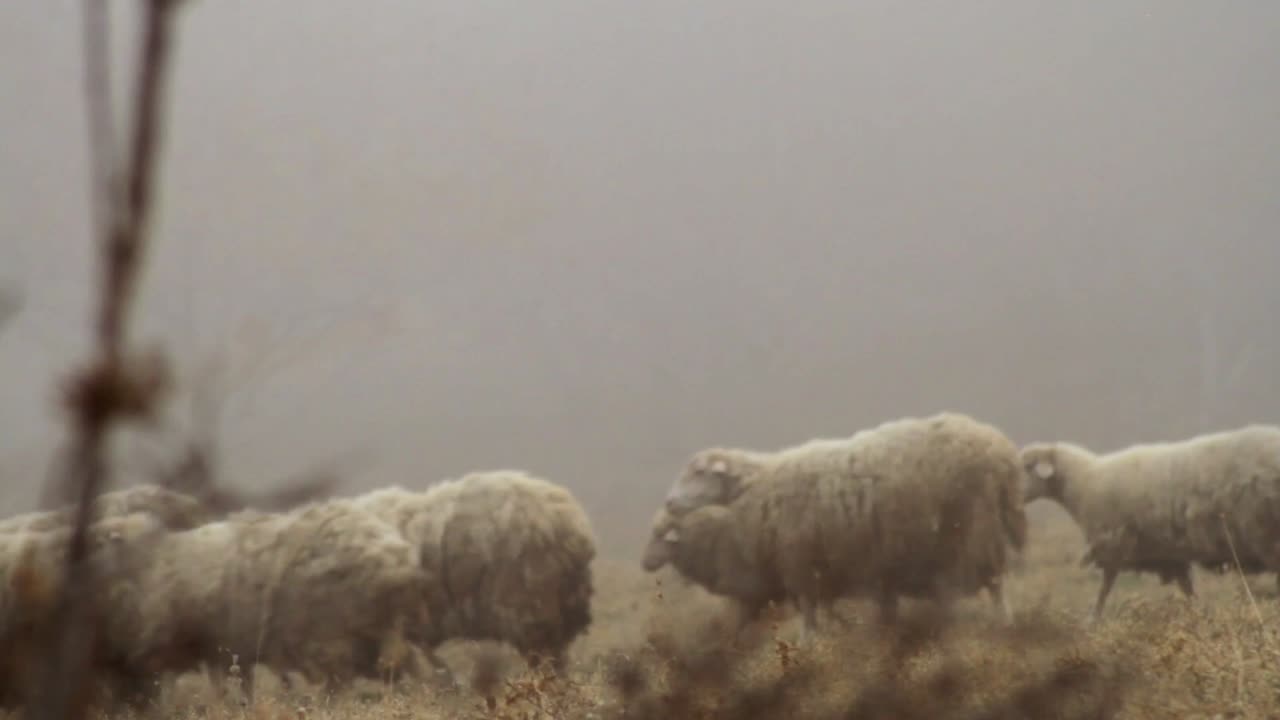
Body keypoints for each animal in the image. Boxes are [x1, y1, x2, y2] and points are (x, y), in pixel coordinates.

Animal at [645, 412, 1027, 641]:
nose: (669, 503)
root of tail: (1002, 451)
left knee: (995, 584)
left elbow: (808, 614)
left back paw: (1003, 624)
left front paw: (808, 646)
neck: (762, 480)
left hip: (976, 528)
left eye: (699, 472)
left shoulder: (800, 562)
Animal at [1019, 423, 1280, 621]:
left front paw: (1092, 621)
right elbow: (1187, 590)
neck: (1084, 481)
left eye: (1027, 467)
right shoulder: (1170, 555)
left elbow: (1104, 588)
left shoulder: (1114, 544)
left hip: (1267, 535)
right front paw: (1198, 616)